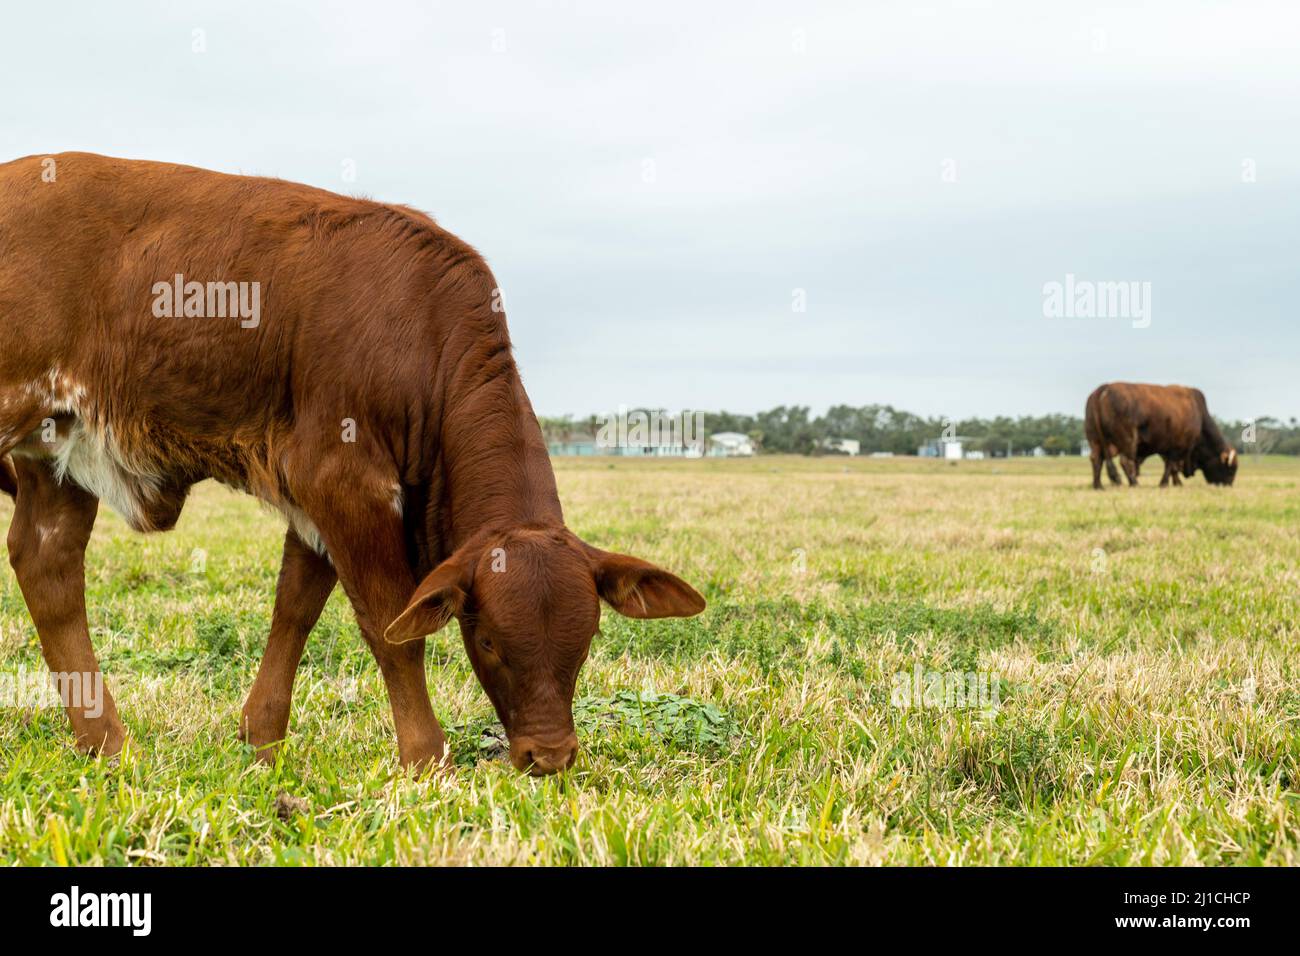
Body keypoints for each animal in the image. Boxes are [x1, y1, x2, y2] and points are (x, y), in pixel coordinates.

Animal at [0, 151, 707, 780]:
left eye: (584, 643)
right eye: (487, 641)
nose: (551, 755)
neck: (423, 333)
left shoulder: (317, 498)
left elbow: (296, 607)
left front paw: (262, 739)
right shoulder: (342, 479)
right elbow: (390, 625)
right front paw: (426, 758)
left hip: (56, 452)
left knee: (48, 565)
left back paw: (106, 743)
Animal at [1081, 382, 1232, 489]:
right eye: (1230, 469)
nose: (1228, 484)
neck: (1197, 412)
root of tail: (1103, 389)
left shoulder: (1167, 449)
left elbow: (1171, 467)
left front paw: (1175, 483)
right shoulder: (1176, 448)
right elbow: (1171, 466)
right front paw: (1166, 483)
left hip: (1095, 440)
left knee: (1096, 459)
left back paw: (1098, 486)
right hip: (1128, 441)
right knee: (1125, 461)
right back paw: (1134, 483)